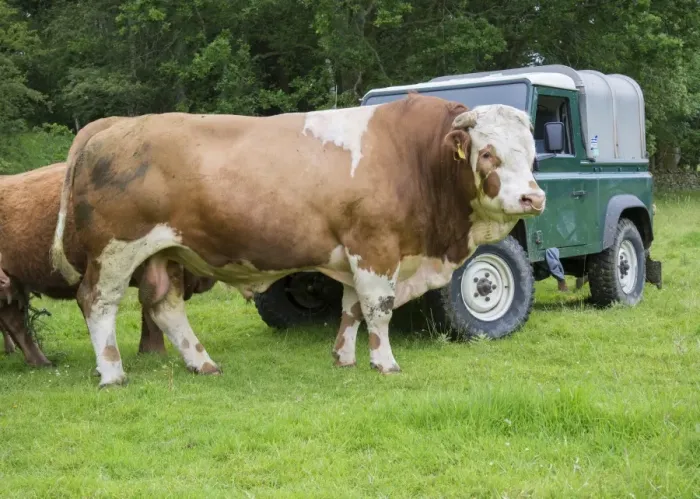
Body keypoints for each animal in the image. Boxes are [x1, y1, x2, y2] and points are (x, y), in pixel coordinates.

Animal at [0, 161, 216, 367]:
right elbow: (153, 308)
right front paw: (155, 352)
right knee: (15, 322)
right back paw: (41, 361)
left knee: (15, 321)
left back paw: (40, 362)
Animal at [50, 94, 546, 388]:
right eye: (488, 153)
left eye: (533, 154)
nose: (533, 196)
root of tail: (114, 124)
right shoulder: (375, 246)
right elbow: (378, 309)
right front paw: (384, 362)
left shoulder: (354, 253)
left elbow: (351, 309)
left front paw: (344, 357)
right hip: (115, 249)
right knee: (98, 302)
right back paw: (112, 372)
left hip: (166, 251)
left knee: (164, 306)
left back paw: (202, 363)